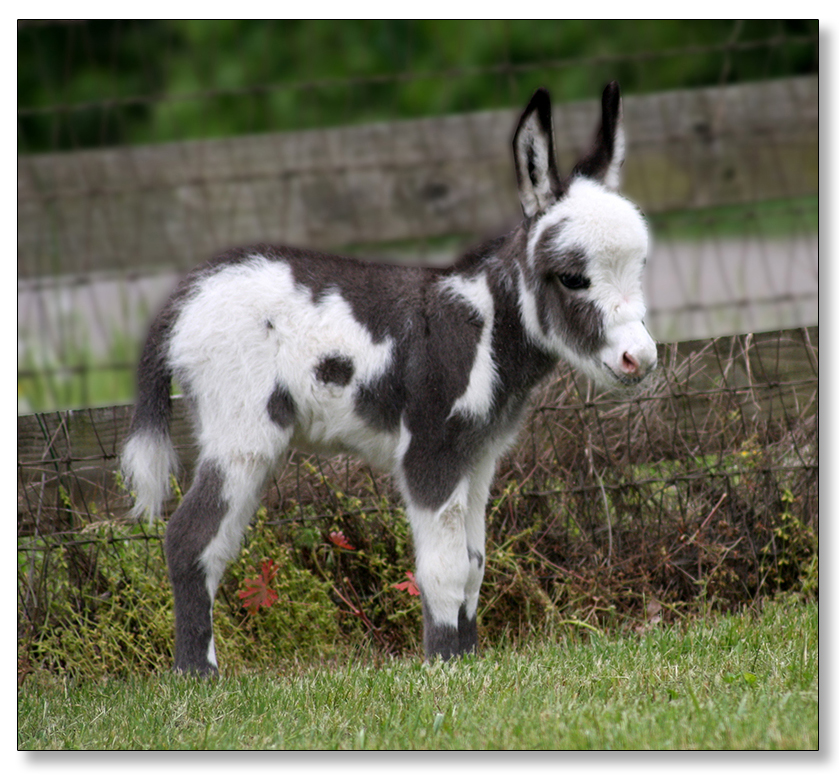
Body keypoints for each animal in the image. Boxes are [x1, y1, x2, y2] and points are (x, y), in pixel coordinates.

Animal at [122, 82, 657, 675]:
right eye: (572, 279)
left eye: (640, 270)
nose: (640, 360)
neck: (486, 325)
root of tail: (186, 296)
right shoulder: (431, 451)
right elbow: (444, 570)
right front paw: (444, 667)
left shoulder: (479, 457)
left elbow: (473, 563)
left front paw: (468, 662)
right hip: (242, 430)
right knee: (188, 539)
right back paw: (198, 677)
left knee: (212, 544)